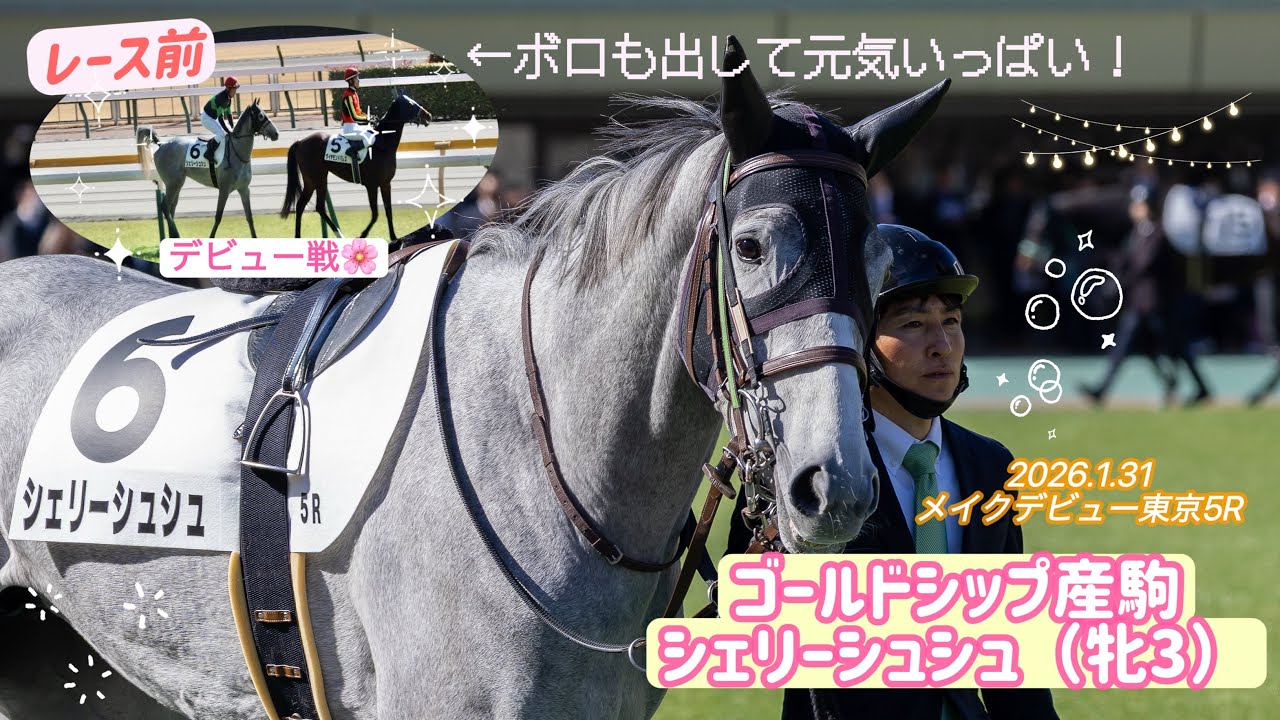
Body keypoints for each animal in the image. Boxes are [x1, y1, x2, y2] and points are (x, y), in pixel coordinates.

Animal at [137, 99, 279, 239]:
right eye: (261, 116)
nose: (276, 133)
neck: (237, 152)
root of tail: (161, 144)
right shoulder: (224, 189)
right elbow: (218, 216)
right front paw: (211, 237)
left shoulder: (244, 189)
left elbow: (249, 216)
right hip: (173, 183)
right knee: (165, 207)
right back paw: (176, 235)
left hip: (177, 183)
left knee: (171, 208)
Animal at [279, 92, 432, 246]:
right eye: (410, 104)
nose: (428, 115)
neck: (382, 144)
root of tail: (300, 142)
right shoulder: (372, 185)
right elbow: (375, 214)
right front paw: (362, 235)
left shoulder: (385, 183)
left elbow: (388, 210)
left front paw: (395, 237)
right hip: (318, 177)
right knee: (315, 205)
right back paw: (338, 235)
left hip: (312, 180)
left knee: (306, 205)